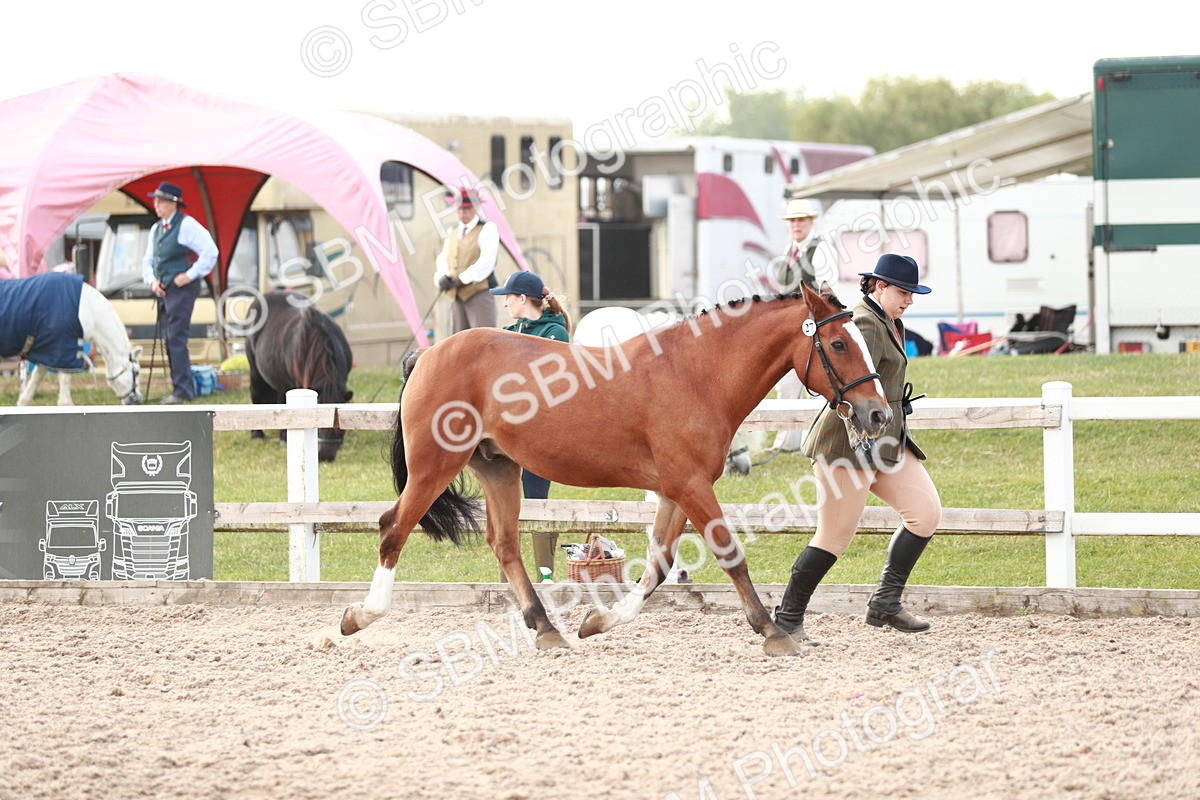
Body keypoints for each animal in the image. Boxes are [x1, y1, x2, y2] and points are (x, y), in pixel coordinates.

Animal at [0, 273, 143, 406]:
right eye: (136, 372)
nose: (138, 400)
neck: (87, 309)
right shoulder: (63, 349)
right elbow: (64, 393)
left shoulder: (49, 352)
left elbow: (37, 376)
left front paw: (24, 401)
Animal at [340, 284, 890, 657]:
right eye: (839, 344)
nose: (878, 414)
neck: (696, 373)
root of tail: (429, 353)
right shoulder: (691, 486)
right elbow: (730, 555)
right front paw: (773, 632)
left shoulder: (674, 490)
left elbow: (659, 567)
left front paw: (597, 621)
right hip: (434, 466)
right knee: (393, 529)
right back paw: (359, 615)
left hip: (497, 469)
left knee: (504, 544)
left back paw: (548, 629)